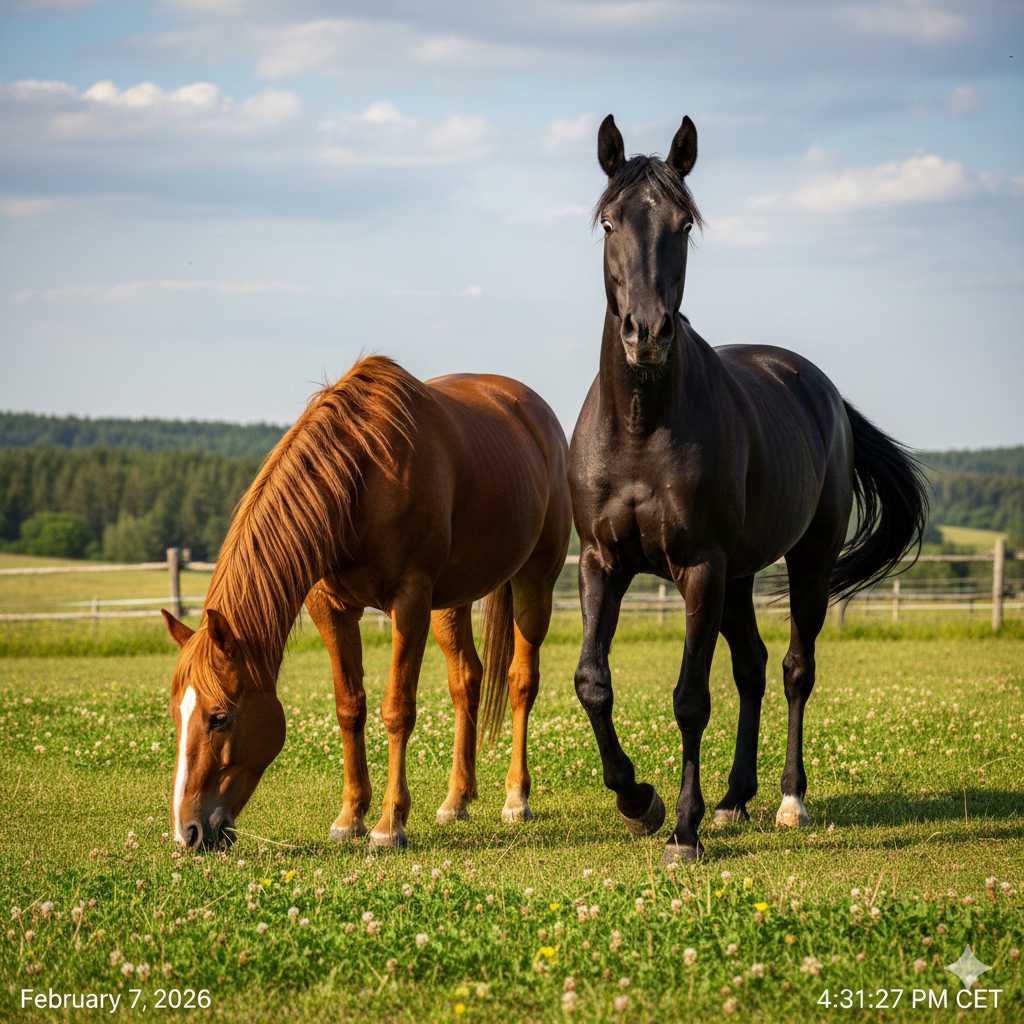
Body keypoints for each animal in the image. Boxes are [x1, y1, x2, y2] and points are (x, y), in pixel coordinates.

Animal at [161, 355, 570, 850]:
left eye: (219, 717)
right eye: (176, 714)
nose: (187, 831)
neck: (363, 478)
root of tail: (536, 413)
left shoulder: (410, 602)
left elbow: (397, 709)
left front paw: (389, 824)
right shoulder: (332, 608)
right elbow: (349, 707)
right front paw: (350, 816)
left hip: (535, 580)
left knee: (520, 682)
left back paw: (516, 798)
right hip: (451, 601)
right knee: (465, 680)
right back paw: (456, 800)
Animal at [569, 114, 928, 863]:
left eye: (682, 224)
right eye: (610, 222)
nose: (647, 332)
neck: (641, 428)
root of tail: (824, 392)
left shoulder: (699, 569)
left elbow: (689, 698)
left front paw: (682, 831)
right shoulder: (601, 562)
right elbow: (593, 682)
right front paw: (637, 802)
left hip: (805, 561)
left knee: (793, 668)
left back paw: (789, 799)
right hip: (737, 578)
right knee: (753, 668)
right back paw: (735, 799)